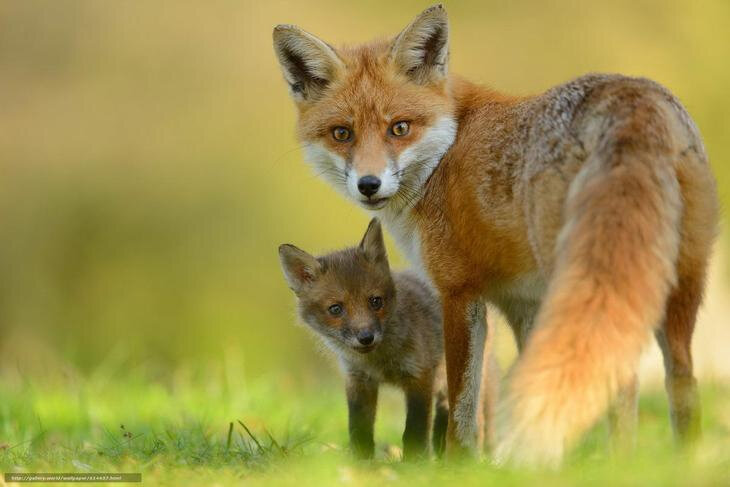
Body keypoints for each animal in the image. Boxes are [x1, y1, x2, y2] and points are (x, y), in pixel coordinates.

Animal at [272, 4, 716, 468]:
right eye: (342, 133)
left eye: (400, 128)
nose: (369, 185)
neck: (446, 153)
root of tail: (632, 99)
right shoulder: (523, 303)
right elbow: (529, 383)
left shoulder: (458, 291)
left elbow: (463, 400)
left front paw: (458, 466)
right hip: (678, 283)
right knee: (681, 380)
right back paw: (674, 463)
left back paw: (619, 465)